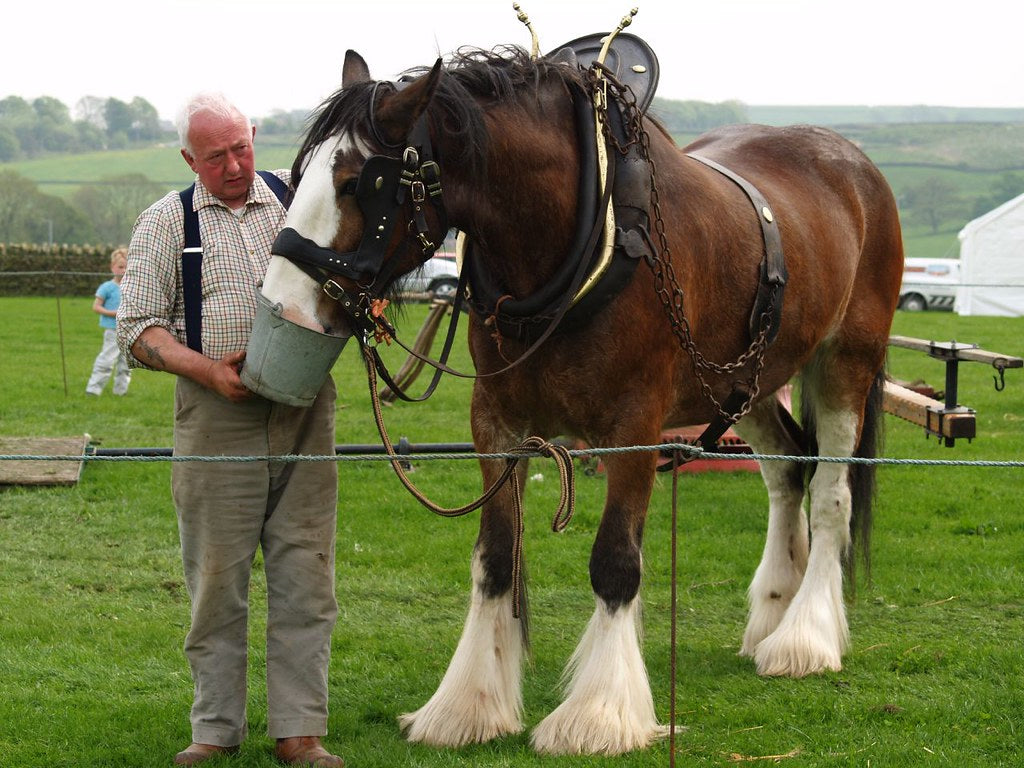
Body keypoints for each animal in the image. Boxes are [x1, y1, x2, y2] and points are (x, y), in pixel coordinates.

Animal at [258, 39, 905, 753]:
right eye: (297, 173)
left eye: (358, 184)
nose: (283, 304)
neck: (579, 235)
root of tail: (849, 161)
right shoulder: (497, 422)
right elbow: (495, 559)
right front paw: (468, 705)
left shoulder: (635, 427)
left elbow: (616, 562)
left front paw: (599, 713)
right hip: (749, 381)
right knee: (788, 471)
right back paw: (772, 613)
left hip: (846, 359)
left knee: (831, 493)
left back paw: (805, 636)